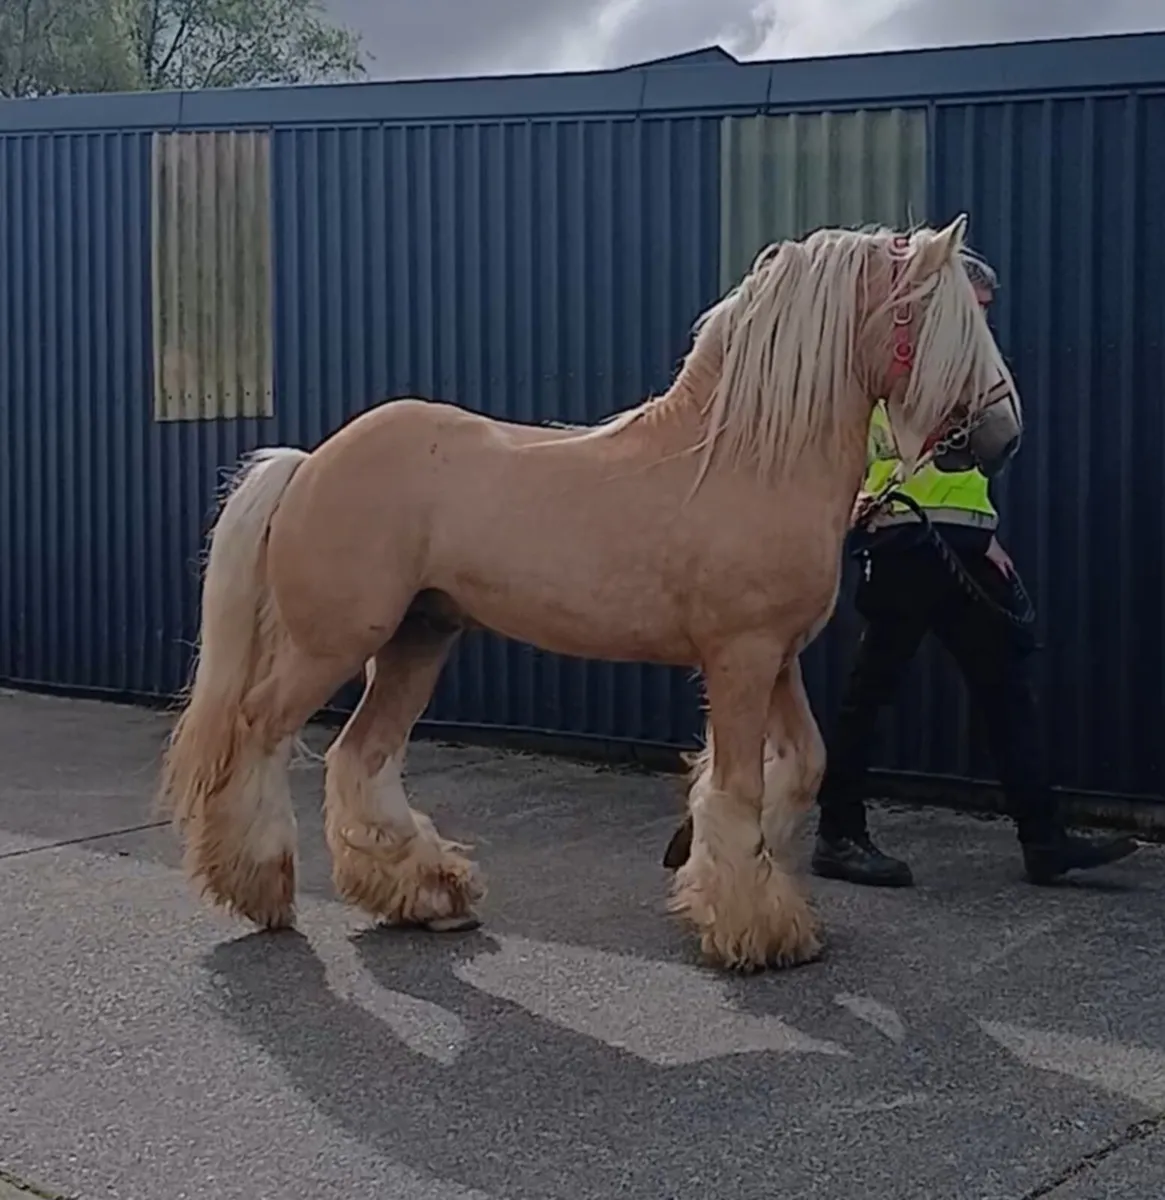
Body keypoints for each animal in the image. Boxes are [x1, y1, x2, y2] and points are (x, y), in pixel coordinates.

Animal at [158, 215, 1022, 972]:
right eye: (946, 322)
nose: (1002, 436)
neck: (744, 459)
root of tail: (309, 462)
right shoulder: (739, 658)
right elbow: (738, 786)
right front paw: (748, 927)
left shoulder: (776, 660)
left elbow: (800, 766)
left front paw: (735, 887)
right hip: (332, 644)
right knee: (258, 731)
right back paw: (259, 888)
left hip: (418, 639)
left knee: (360, 757)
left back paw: (429, 894)